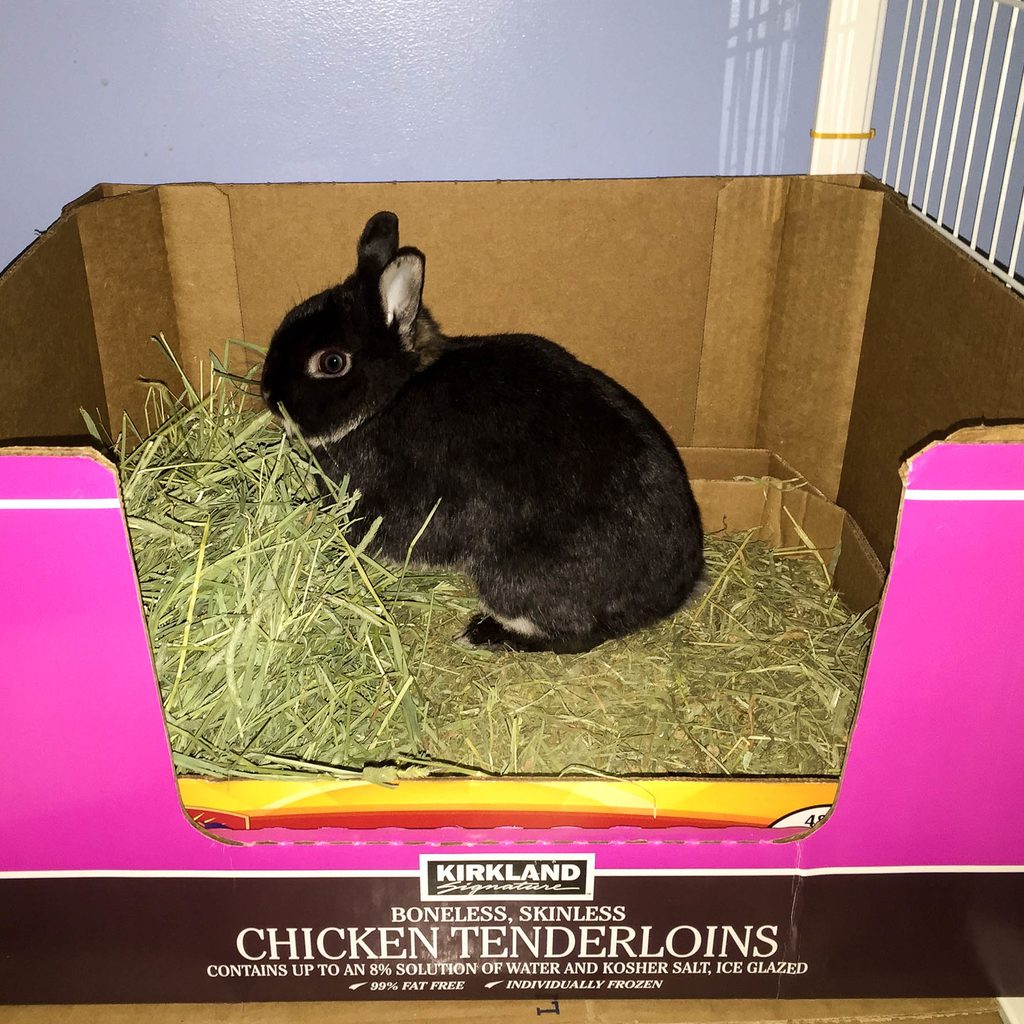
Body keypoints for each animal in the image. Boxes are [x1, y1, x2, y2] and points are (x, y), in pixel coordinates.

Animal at [261, 211, 704, 654]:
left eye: (332, 362)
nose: (267, 394)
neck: (392, 397)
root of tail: (673, 590)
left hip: (513, 579)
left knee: (573, 634)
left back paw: (481, 632)